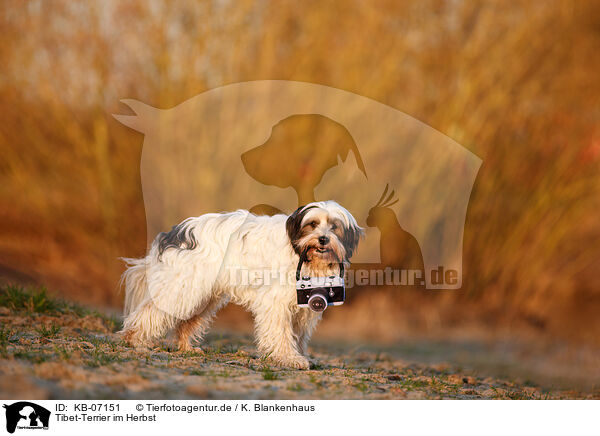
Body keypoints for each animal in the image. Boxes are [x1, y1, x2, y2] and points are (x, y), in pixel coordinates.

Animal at [119, 201, 358, 368]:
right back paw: (134, 339)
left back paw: (187, 348)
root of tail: (175, 233)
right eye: (313, 224)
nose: (323, 239)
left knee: (185, 322)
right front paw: (287, 358)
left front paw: (299, 355)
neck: (299, 251)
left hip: (202, 294)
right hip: (183, 288)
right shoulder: (276, 302)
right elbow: (281, 332)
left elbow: (297, 334)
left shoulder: (303, 306)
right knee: (150, 310)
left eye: (334, 227)